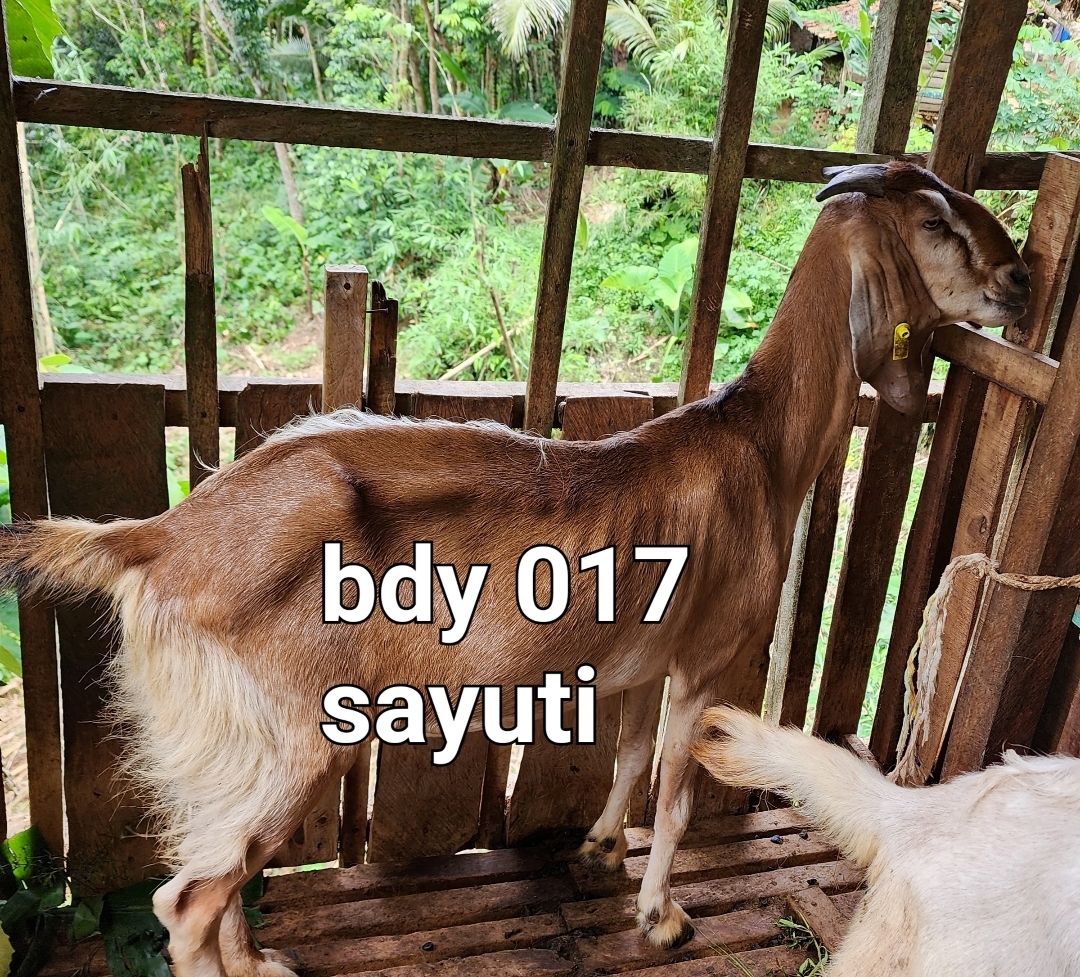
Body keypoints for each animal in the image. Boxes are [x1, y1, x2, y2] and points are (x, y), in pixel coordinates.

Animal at [0, 162, 1029, 977]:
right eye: (934, 222)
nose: (1021, 280)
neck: (758, 444)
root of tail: (156, 539)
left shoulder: (635, 660)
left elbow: (625, 758)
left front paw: (598, 852)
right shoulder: (703, 659)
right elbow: (677, 795)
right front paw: (662, 916)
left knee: (221, 880)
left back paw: (265, 961)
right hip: (280, 733)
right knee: (188, 900)